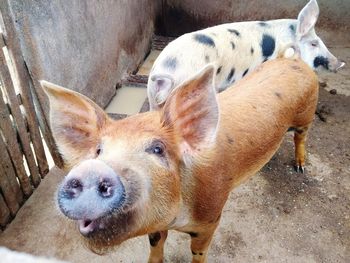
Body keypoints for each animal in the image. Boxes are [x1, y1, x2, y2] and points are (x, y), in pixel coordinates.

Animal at [41, 56, 320, 262]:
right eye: (99, 150)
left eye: (157, 149)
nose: (90, 171)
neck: (177, 219)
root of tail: (295, 61)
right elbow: (155, 242)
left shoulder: (211, 218)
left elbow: (198, 251)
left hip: (307, 114)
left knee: (301, 137)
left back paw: (300, 167)